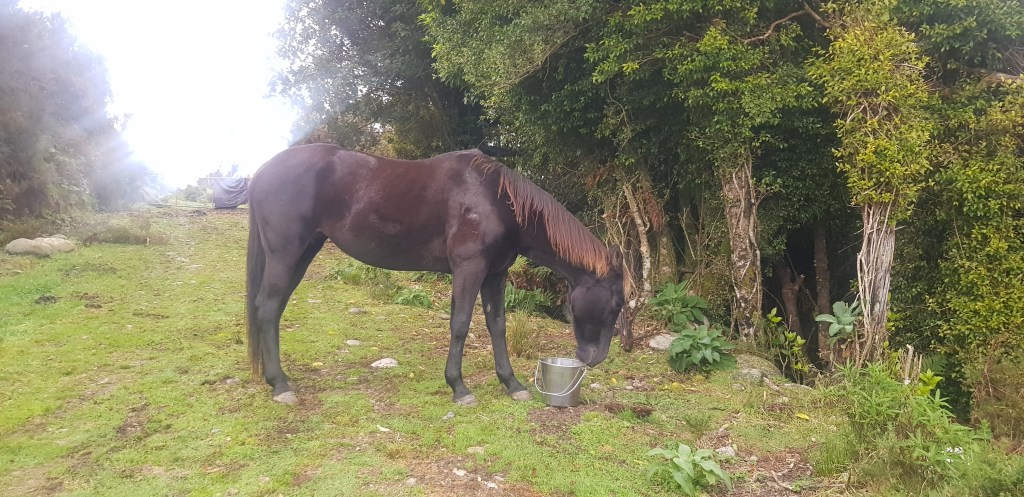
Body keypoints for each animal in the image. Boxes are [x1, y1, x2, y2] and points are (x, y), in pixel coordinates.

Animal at [246, 144, 625, 405]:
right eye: (617, 304)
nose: (595, 358)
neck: (495, 200)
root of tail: (261, 172)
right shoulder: (468, 269)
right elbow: (460, 324)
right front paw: (459, 387)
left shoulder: (495, 275)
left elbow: (497, 326)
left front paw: (512, 385)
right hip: (285, 255)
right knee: (268, 308)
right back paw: (280, 385)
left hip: (302, 254)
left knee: (272, 309)